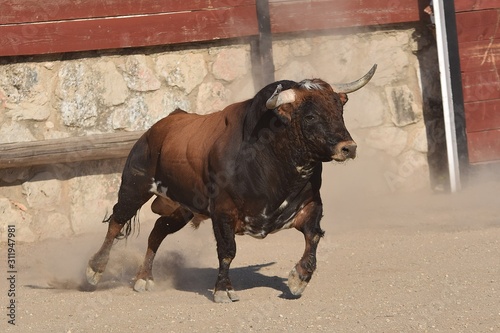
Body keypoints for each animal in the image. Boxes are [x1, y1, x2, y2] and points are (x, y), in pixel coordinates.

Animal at [86, 63, 376, 302]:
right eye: (310, 116)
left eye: (339, 109)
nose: (348, 148)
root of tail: (157, 127)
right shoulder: (223, 211)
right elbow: (227, 250)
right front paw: (223, 290)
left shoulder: (310, 204)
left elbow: (313, 236)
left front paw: (299, 279)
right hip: (134, 185)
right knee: (116, 221)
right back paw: (95, 270)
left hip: (182, 207)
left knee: (157, 231)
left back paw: (144, 278)